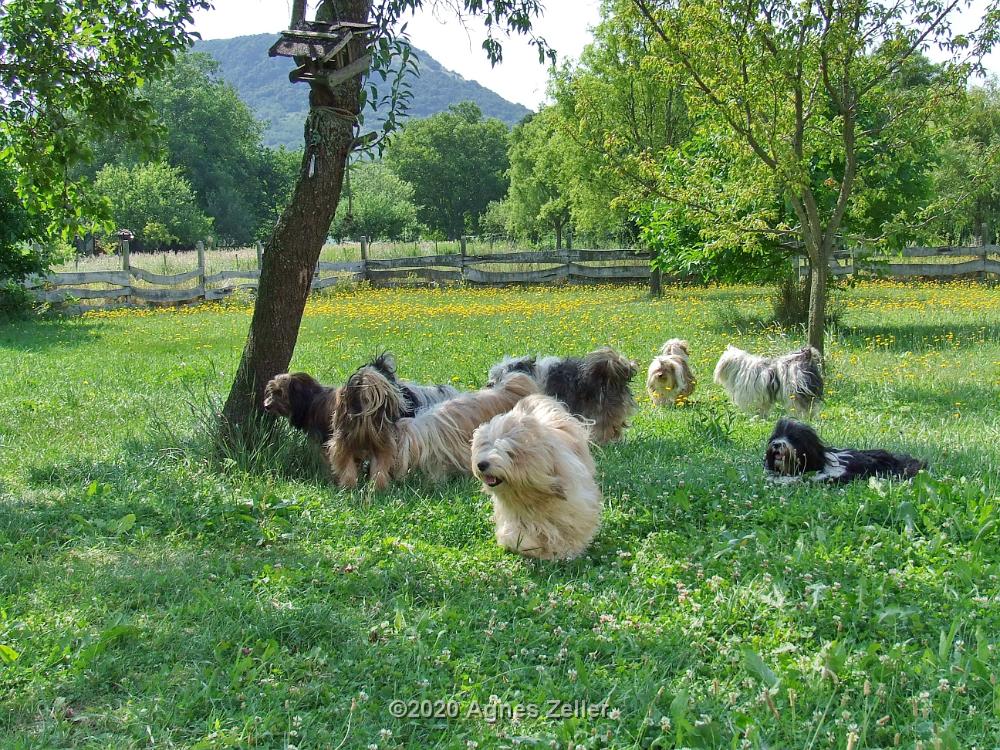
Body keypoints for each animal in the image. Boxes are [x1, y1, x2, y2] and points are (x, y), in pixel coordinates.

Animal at [470, 396, 600, 560]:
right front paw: (529, 546)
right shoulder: (515, 515)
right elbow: (516, 533)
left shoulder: (573, 504)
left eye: (507, 451)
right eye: (484, 445)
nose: (481, 464)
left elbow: (569, 527)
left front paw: (566, 550)